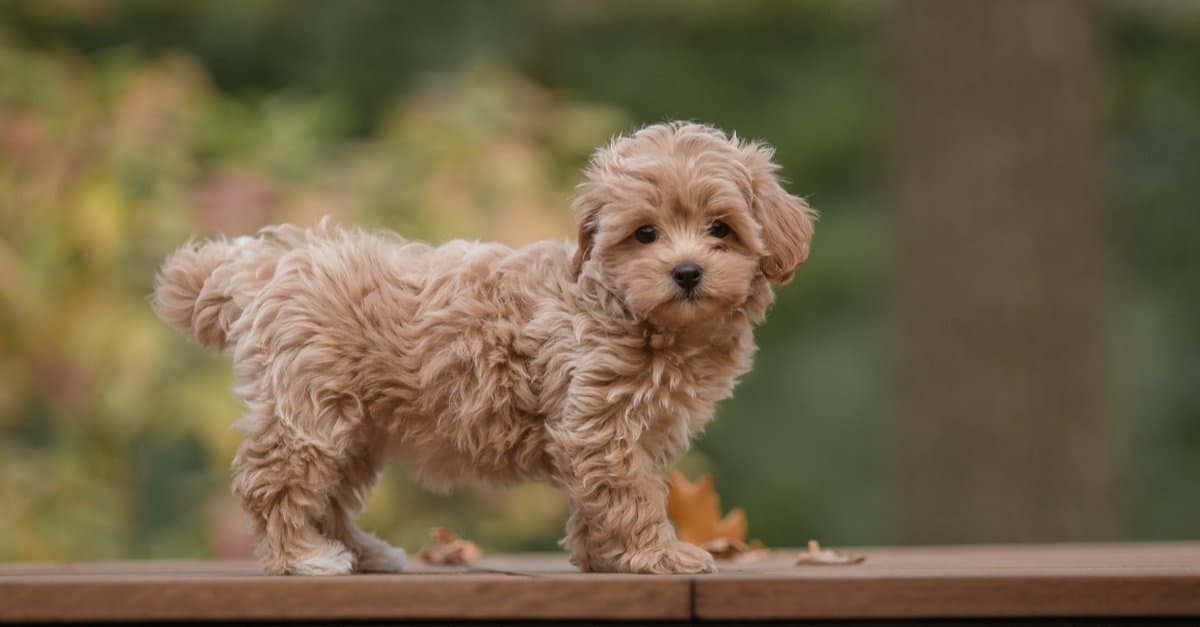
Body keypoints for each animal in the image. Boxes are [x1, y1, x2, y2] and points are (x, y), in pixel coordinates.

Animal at [152, 119, 816, 574]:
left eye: (720, 229)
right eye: (645, 234)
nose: (686, 272)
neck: (628, 310)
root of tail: (264, 266)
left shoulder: (622, 432)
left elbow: (602, 497)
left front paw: (601, 556)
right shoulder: (599, 424)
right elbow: (630, 496)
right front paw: (658, 555)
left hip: (358, 427)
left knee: (331, 496)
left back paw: (362, 552)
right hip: (311, 410)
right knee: (275, 483)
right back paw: (304, 557)